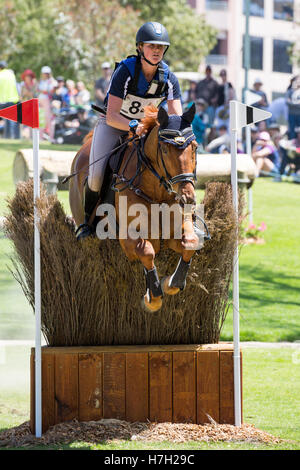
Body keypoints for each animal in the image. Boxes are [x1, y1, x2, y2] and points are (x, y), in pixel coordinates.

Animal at [69, 105, 203, 312]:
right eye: (164, 149)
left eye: (194, 147)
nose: (187, 197)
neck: (157, 192)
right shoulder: (128, 237)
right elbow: (146, 252)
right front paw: (153, 298)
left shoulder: (173, 233)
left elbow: (190, 243)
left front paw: (171, 283)